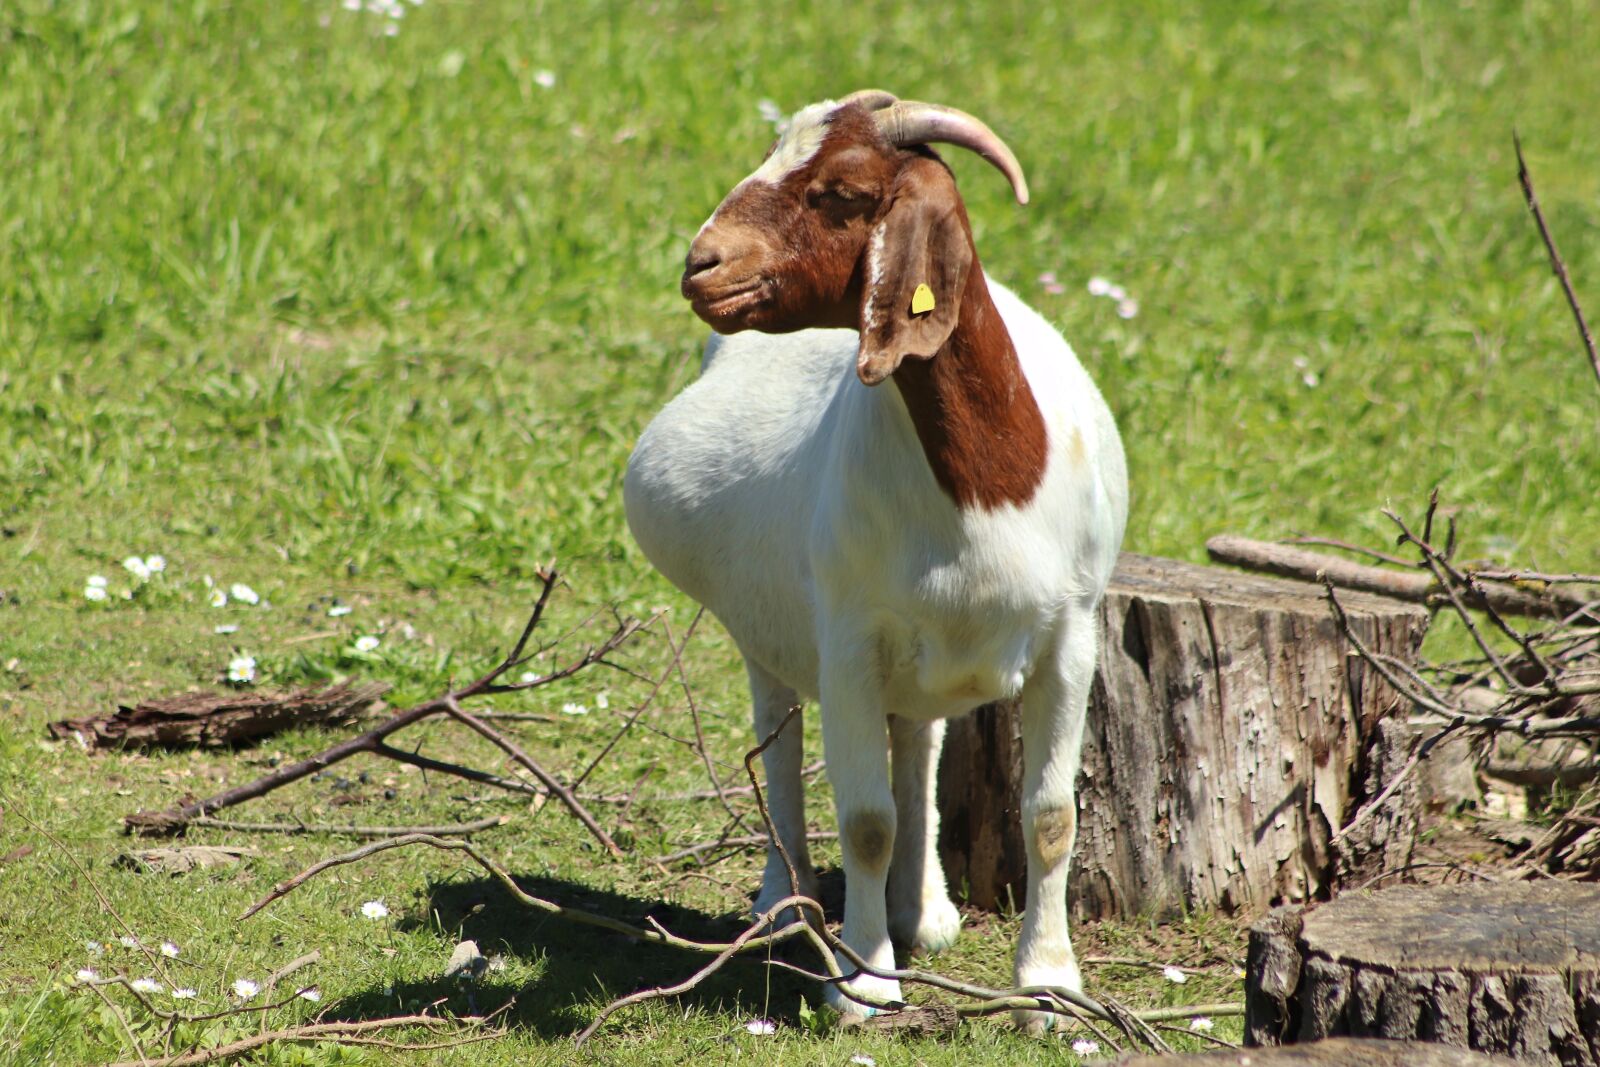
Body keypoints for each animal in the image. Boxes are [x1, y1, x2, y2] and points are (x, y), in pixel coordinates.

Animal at [623, 90, 1127, 1028]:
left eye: (843, 190)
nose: (702, 263)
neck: (989, 489)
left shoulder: (1071, 635)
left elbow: (1049, 816)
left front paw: (1048, 985)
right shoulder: (849, 638)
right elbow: (863, 819)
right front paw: (862, 985)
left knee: (919, 740)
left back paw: (921, 910)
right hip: (769, 633)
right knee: (781, 744)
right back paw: (783, 904)